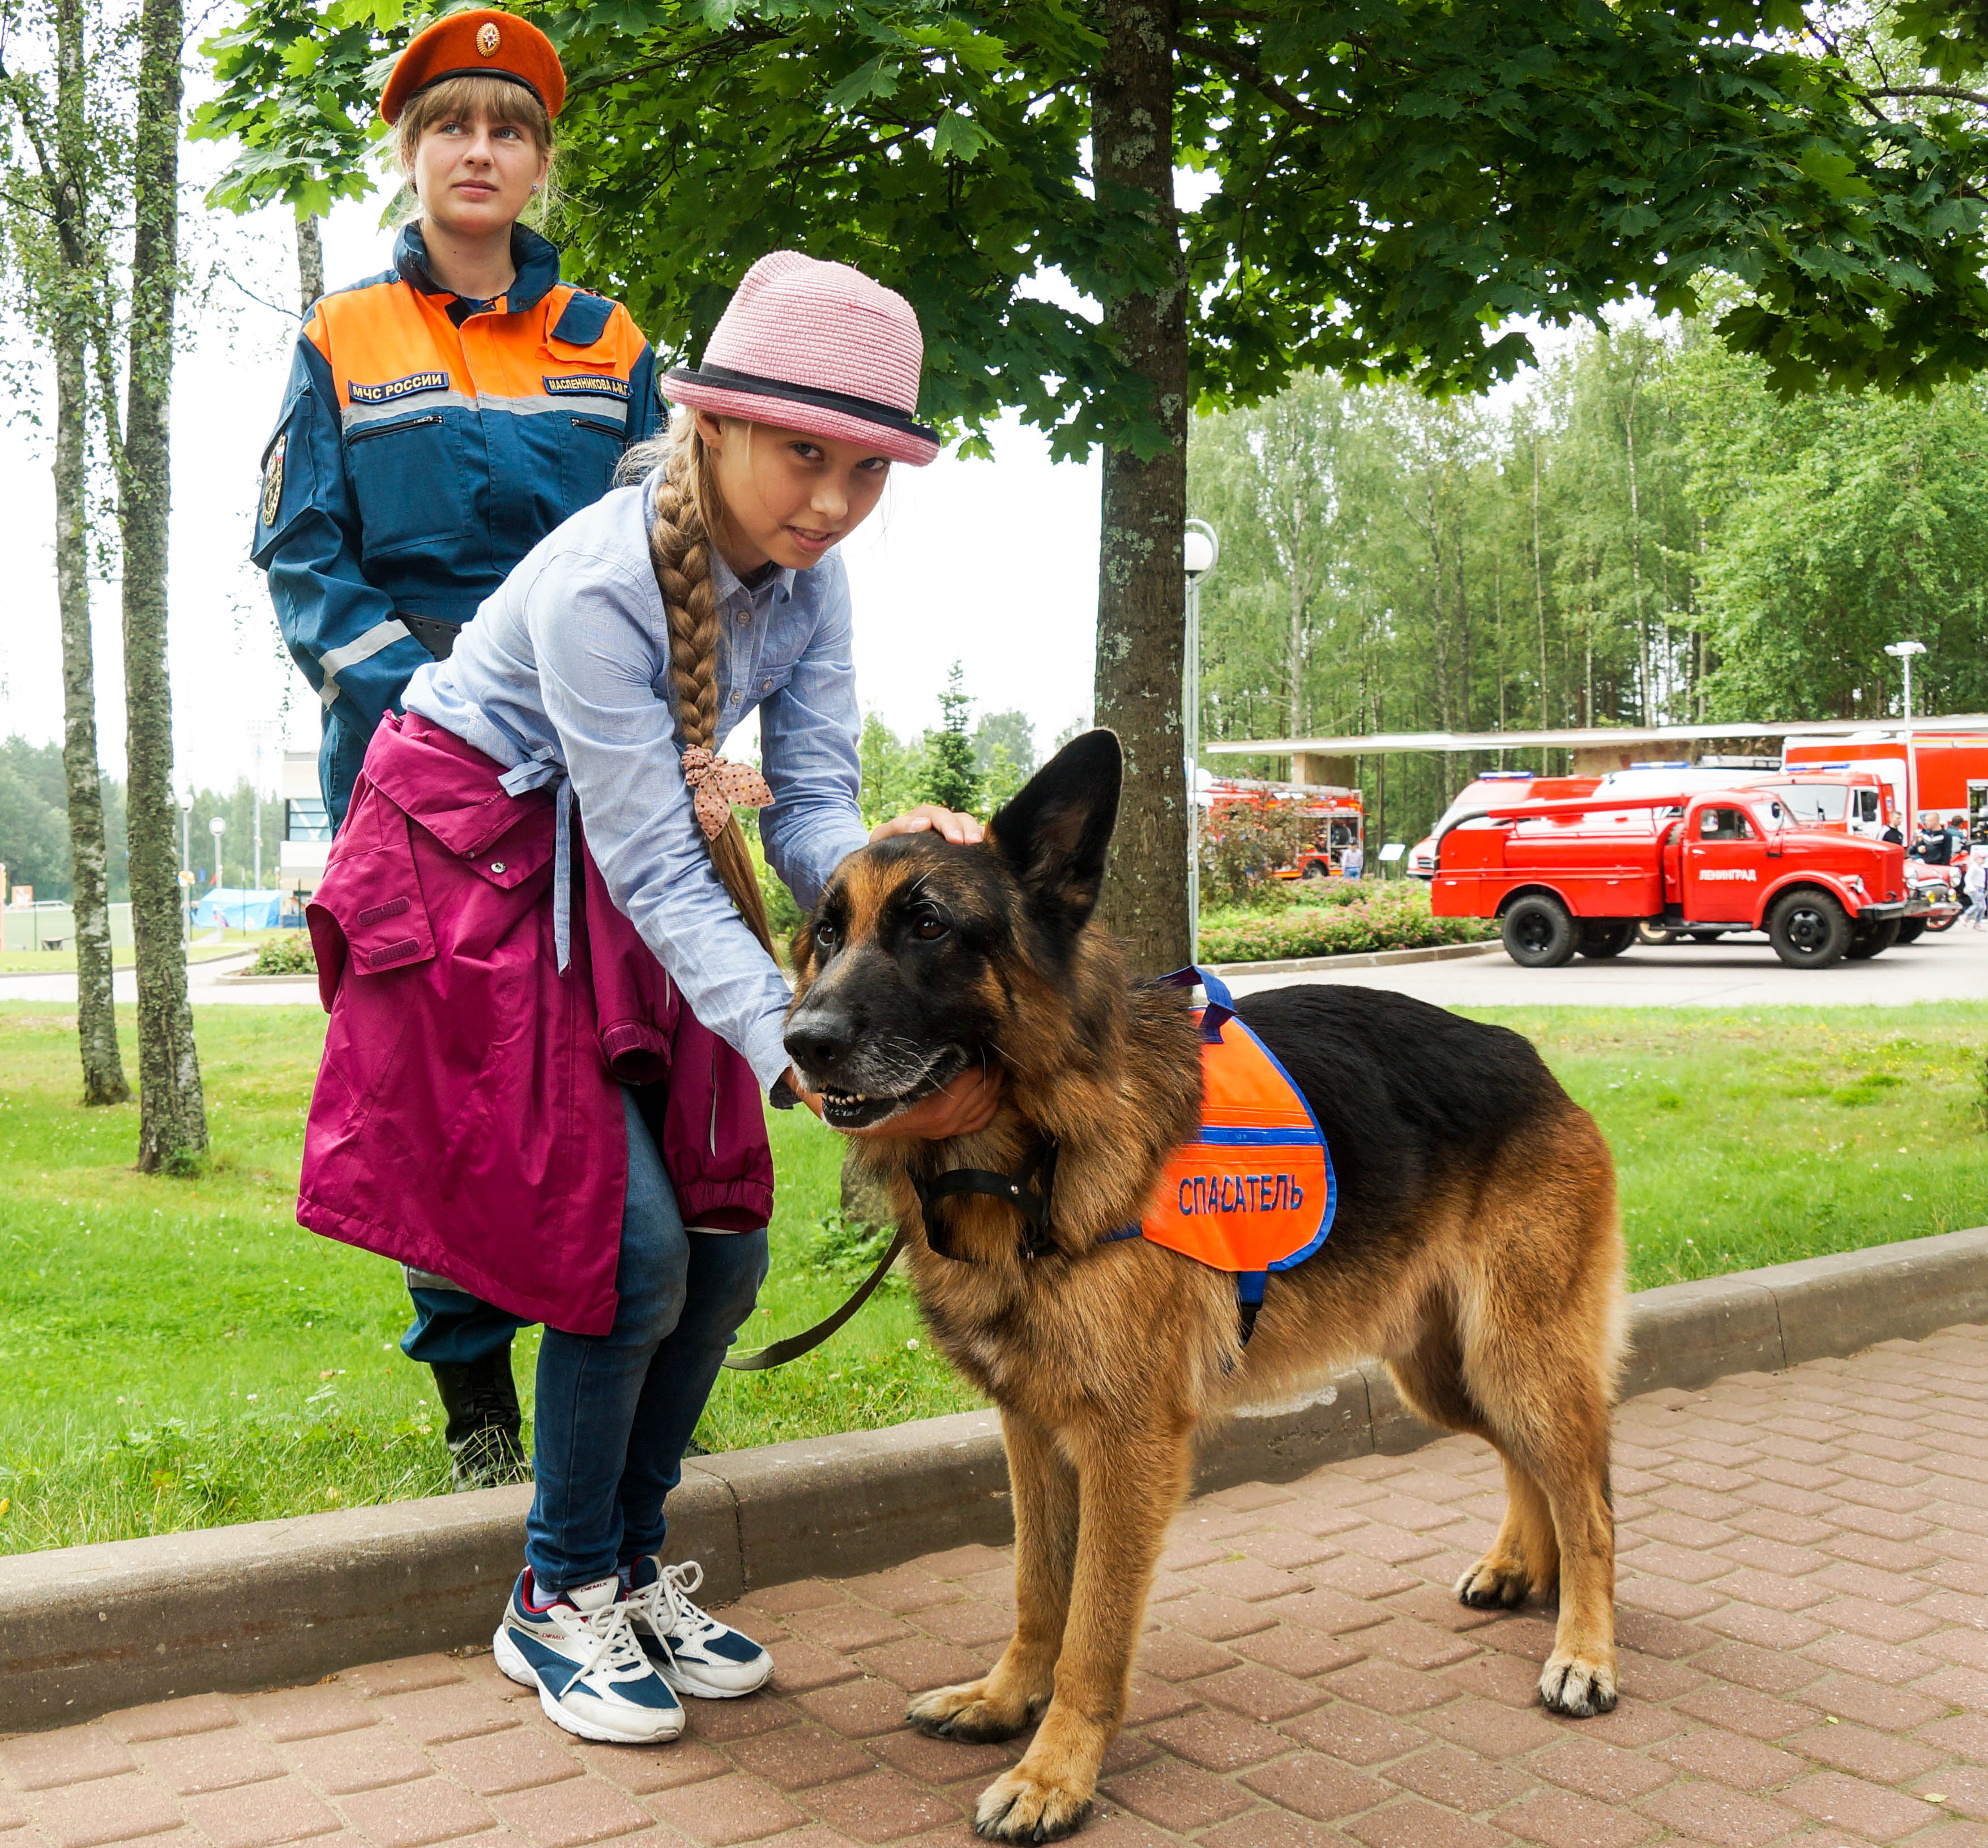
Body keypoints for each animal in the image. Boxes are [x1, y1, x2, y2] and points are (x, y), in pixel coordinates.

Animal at [784, 730, 1625, 1843]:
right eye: (826, 934)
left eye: (927, 924)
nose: (800, 1043)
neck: (1028, 1157)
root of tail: (1532, 1061)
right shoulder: (1032, 1430)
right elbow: (1035, 1588)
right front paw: (1005, 1699)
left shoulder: (1126, 1444)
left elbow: (1093, 1626)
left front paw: (1056, 1772)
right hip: (1449, 1374)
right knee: (1535, 1468)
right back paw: (1522, 1570)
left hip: (1514, 1357)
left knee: (1591, 1499)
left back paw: (1584, 1646)